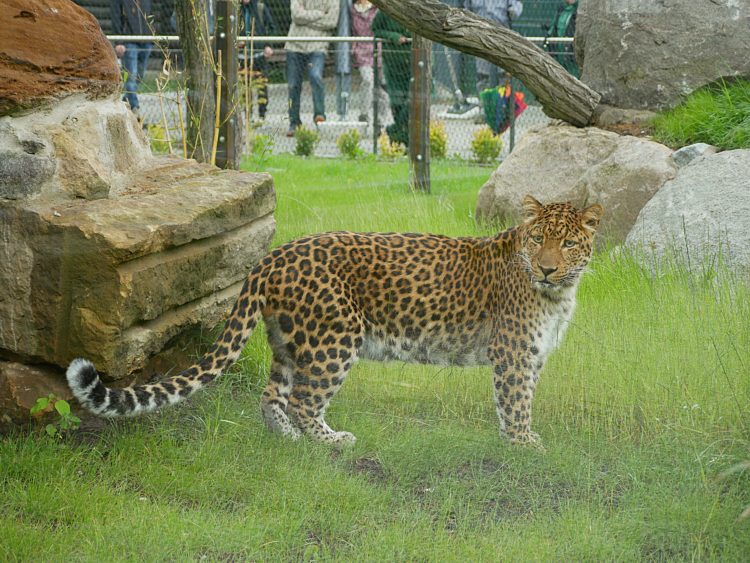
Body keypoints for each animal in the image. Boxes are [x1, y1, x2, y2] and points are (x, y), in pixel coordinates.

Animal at [64, 196, 604, 448]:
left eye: (567, 243)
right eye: (538, 240)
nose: (547, 267)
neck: (560, 293)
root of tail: (273, 255)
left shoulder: (532, 354)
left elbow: (519, 401)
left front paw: (520, 441)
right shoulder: (514, 353)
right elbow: (516, 401)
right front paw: (525, 447)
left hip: (288, 341)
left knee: (273, 394)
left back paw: (288, 442)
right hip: (336, 338)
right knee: (304, 400)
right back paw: (329, 443)